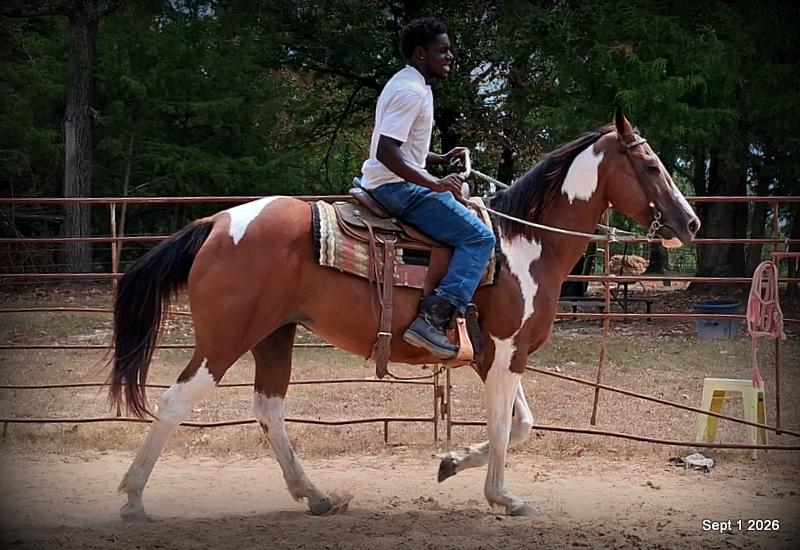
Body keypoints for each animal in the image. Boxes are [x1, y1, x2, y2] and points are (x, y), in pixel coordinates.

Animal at [108, 108, 699, 520]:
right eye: (651, 165)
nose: (690, 222)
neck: (524, 244)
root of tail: (216, 222)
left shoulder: (495, 356)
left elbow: (522, 425)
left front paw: (453, 463)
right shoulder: (508, 352)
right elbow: (505, 429)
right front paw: (502, 497)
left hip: (274, 335)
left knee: (269, 408)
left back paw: (316, 496)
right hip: (225, 338)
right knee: (176, 401)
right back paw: (133, 500)